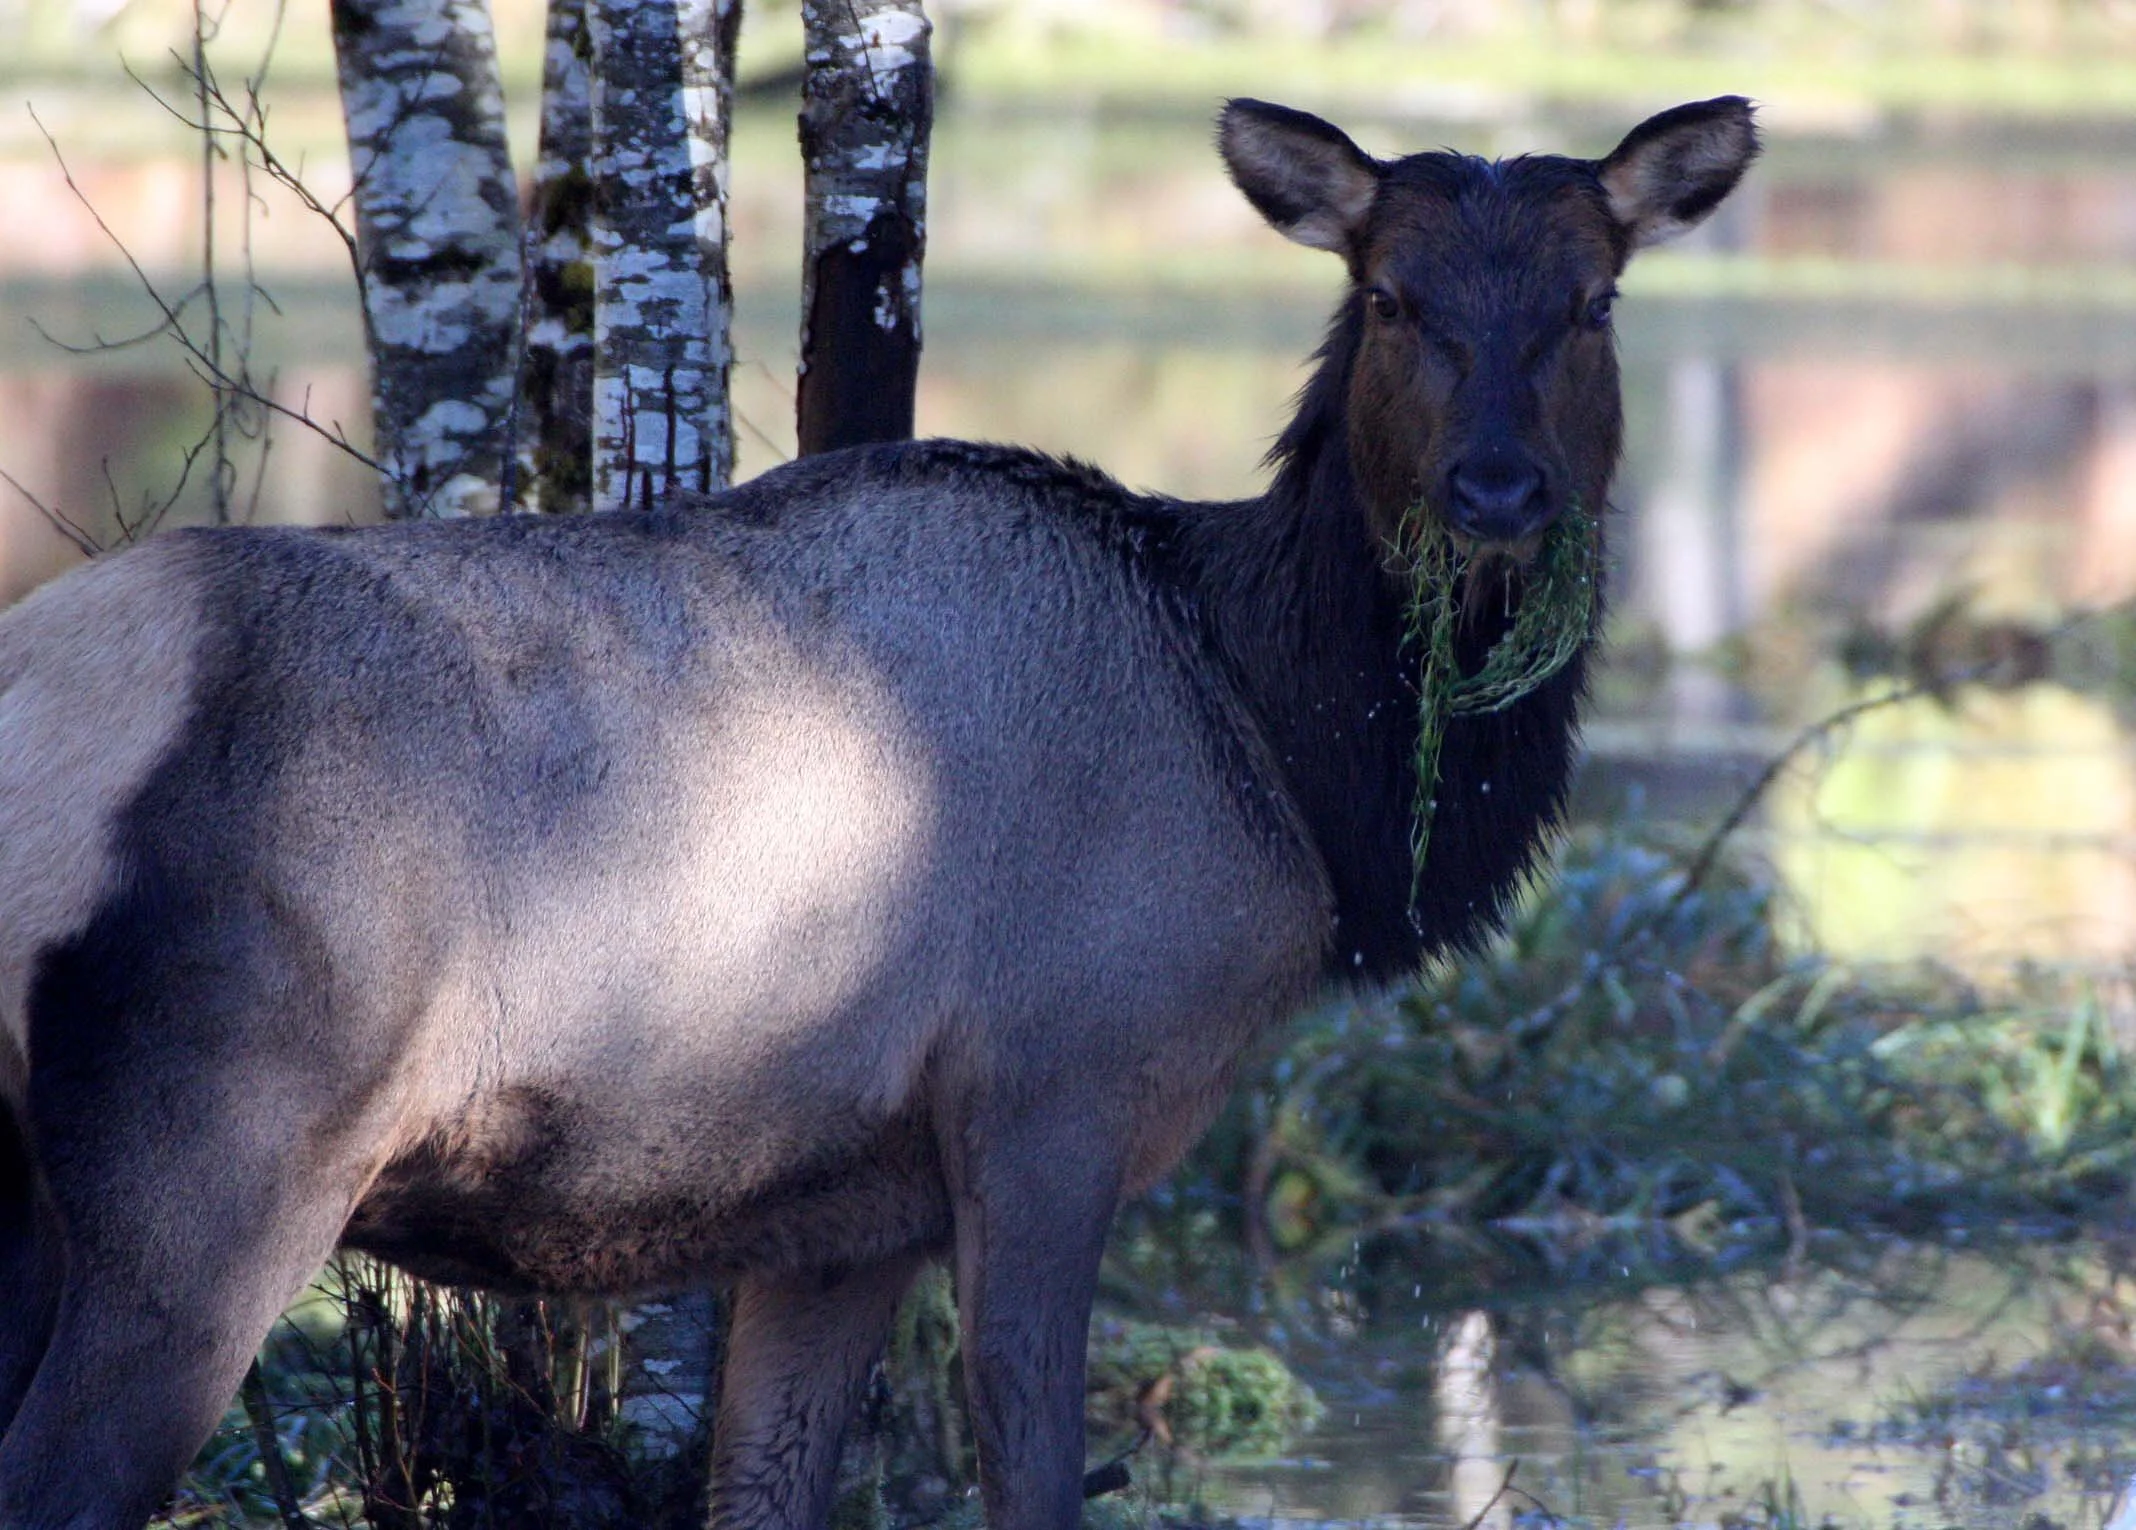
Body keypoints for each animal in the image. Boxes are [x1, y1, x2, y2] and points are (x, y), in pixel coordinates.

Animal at [0, 95, 1756, 1529]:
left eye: (1594, 299)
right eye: (1388, 296)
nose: (1498, 494)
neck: (1285, 758)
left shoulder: (839, 1206)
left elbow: (771, 1487)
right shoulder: (1053, 1091)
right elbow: (1029, 1474)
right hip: (219, 1153)